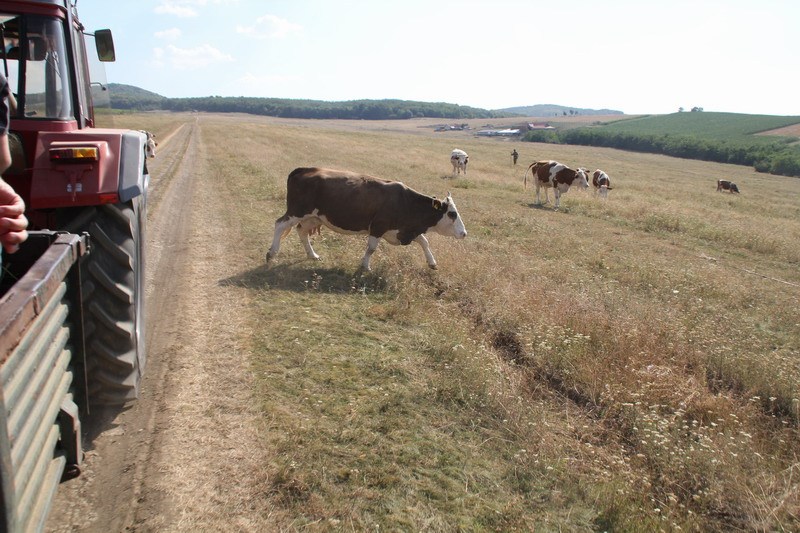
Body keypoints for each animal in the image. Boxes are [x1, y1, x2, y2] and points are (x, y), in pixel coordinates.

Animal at [266, 167, 468, 271]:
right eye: (452, 214)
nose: (464, 233)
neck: (405, 202)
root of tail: (304, 170)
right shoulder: (378, 226)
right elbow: (371, 248)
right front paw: (365, 265)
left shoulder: (403, 230)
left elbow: (424, 242)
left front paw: (432, 262)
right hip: (297, 211)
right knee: (279, 224)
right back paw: (272, 253)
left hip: (313, 217)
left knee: (302, 232)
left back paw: (312, 254)